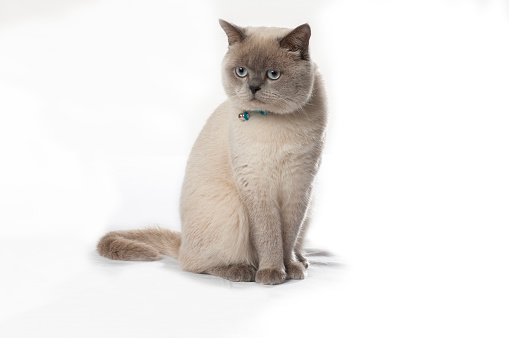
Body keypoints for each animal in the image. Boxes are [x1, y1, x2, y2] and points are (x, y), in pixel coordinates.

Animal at [97, 19, 328, 286]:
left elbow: (288, 236)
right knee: (194, 264)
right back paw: (242, 271)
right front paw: (272, 273)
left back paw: (301, 260)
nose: (253, 87)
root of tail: (182, 242)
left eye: (273, 74)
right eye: (241, 71)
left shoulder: (299, 186)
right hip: (231, 208)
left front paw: (290, 268)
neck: (275, 123)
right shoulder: (257, 186)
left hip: (311, 204)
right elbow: (269, 237)